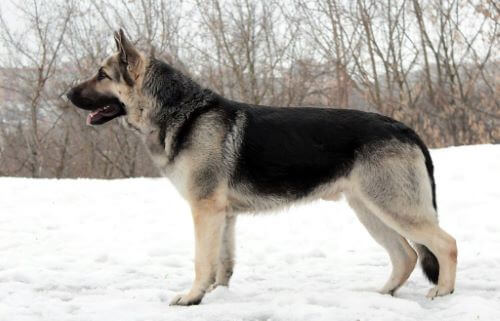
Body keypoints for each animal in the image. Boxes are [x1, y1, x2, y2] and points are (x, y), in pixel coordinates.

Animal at [66, 28, 458, 304]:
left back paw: (443, 293)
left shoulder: (204, 210)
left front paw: (192, 298)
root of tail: (405, 128)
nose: (65, 94)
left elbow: (201, 260)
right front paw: (216, 295)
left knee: (446, 244)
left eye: (102, 75)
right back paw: (383, 295)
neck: (182, 113)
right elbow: (222, 264)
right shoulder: (222, 216)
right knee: (406, 255)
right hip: (371, 210)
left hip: (394, 208)